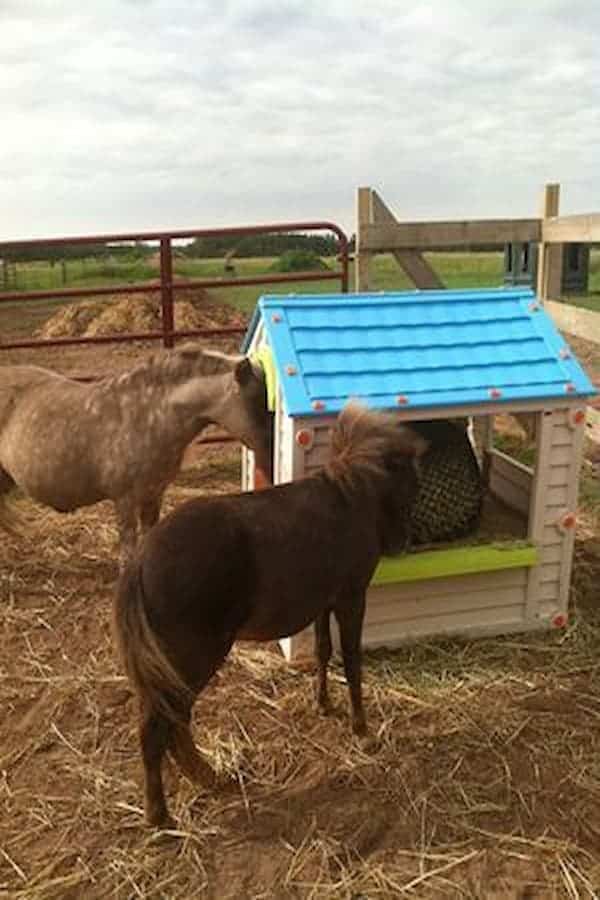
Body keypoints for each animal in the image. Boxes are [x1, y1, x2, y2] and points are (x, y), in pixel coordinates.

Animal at [0, 344, 272, 564]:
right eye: (258, 402)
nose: (269, 457)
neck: (150, 414)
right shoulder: (125, 500)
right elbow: (128, 550)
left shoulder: (153, 494)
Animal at [113, 404, 426, 828]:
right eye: (410, 483)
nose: (402, 543)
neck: (350, 499)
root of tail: (142, 559)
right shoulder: (350, 599)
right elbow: (352, 661)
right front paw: (361, 729)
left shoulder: (324, 603)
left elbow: (324, 651)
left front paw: (324, 705)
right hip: (190, 661)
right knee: (158, 727)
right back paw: (160, 814)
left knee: (174, 725)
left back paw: (209, 779)